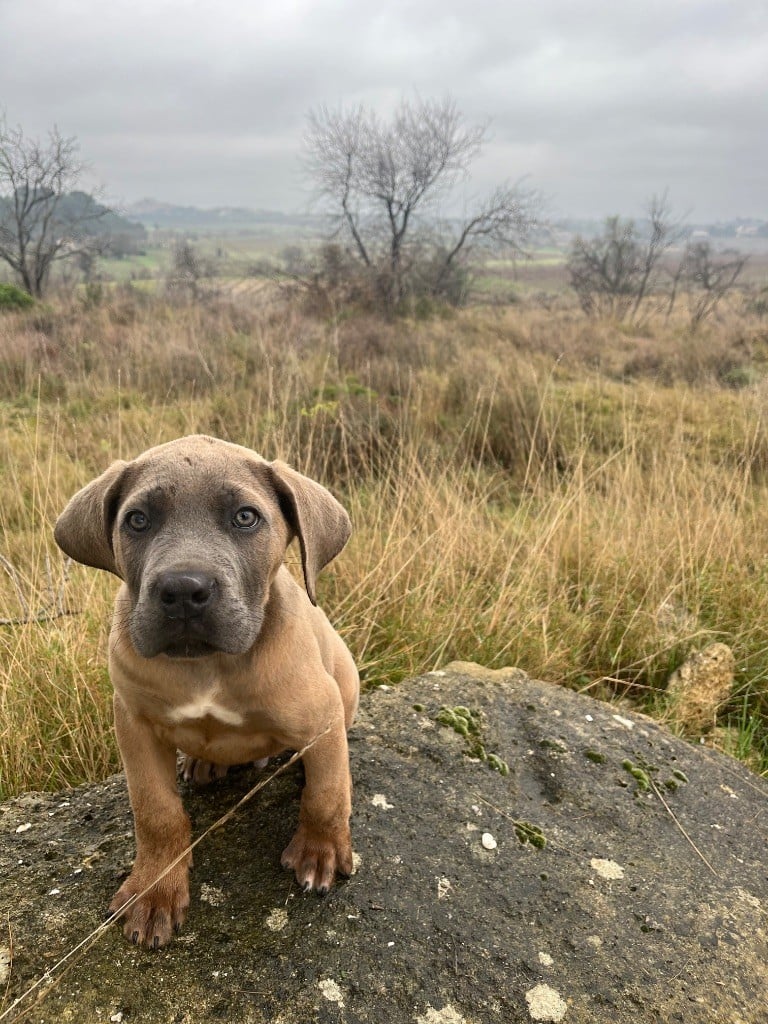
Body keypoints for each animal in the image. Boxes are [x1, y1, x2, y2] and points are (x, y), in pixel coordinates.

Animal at [54, 432, 360, 942]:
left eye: (245, 517)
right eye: (137, 520)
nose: (182, 591)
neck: (208, 665)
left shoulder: (322, 712)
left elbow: (327, 793)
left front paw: (321, 851)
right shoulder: (134, 724)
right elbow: (155, 812)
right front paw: (154, 891)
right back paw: (202, 762)